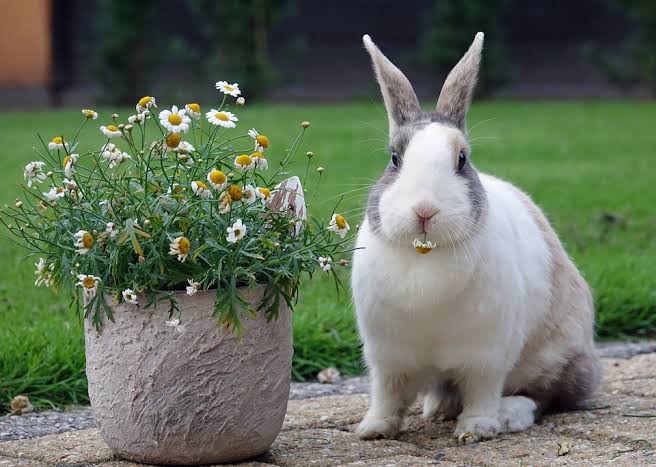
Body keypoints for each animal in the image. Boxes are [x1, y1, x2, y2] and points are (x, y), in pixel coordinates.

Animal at [351, 32, 601, 443]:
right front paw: (373, 429)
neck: (425, 253)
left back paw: (509, 414)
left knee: (545, 396)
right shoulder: (387, 356)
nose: (424, 210)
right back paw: (437, 408)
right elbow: (387, 394)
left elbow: (482, 391)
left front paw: (476, 429)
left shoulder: (486, 356)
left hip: (555, 358)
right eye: (394, 159)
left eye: (462, 159)